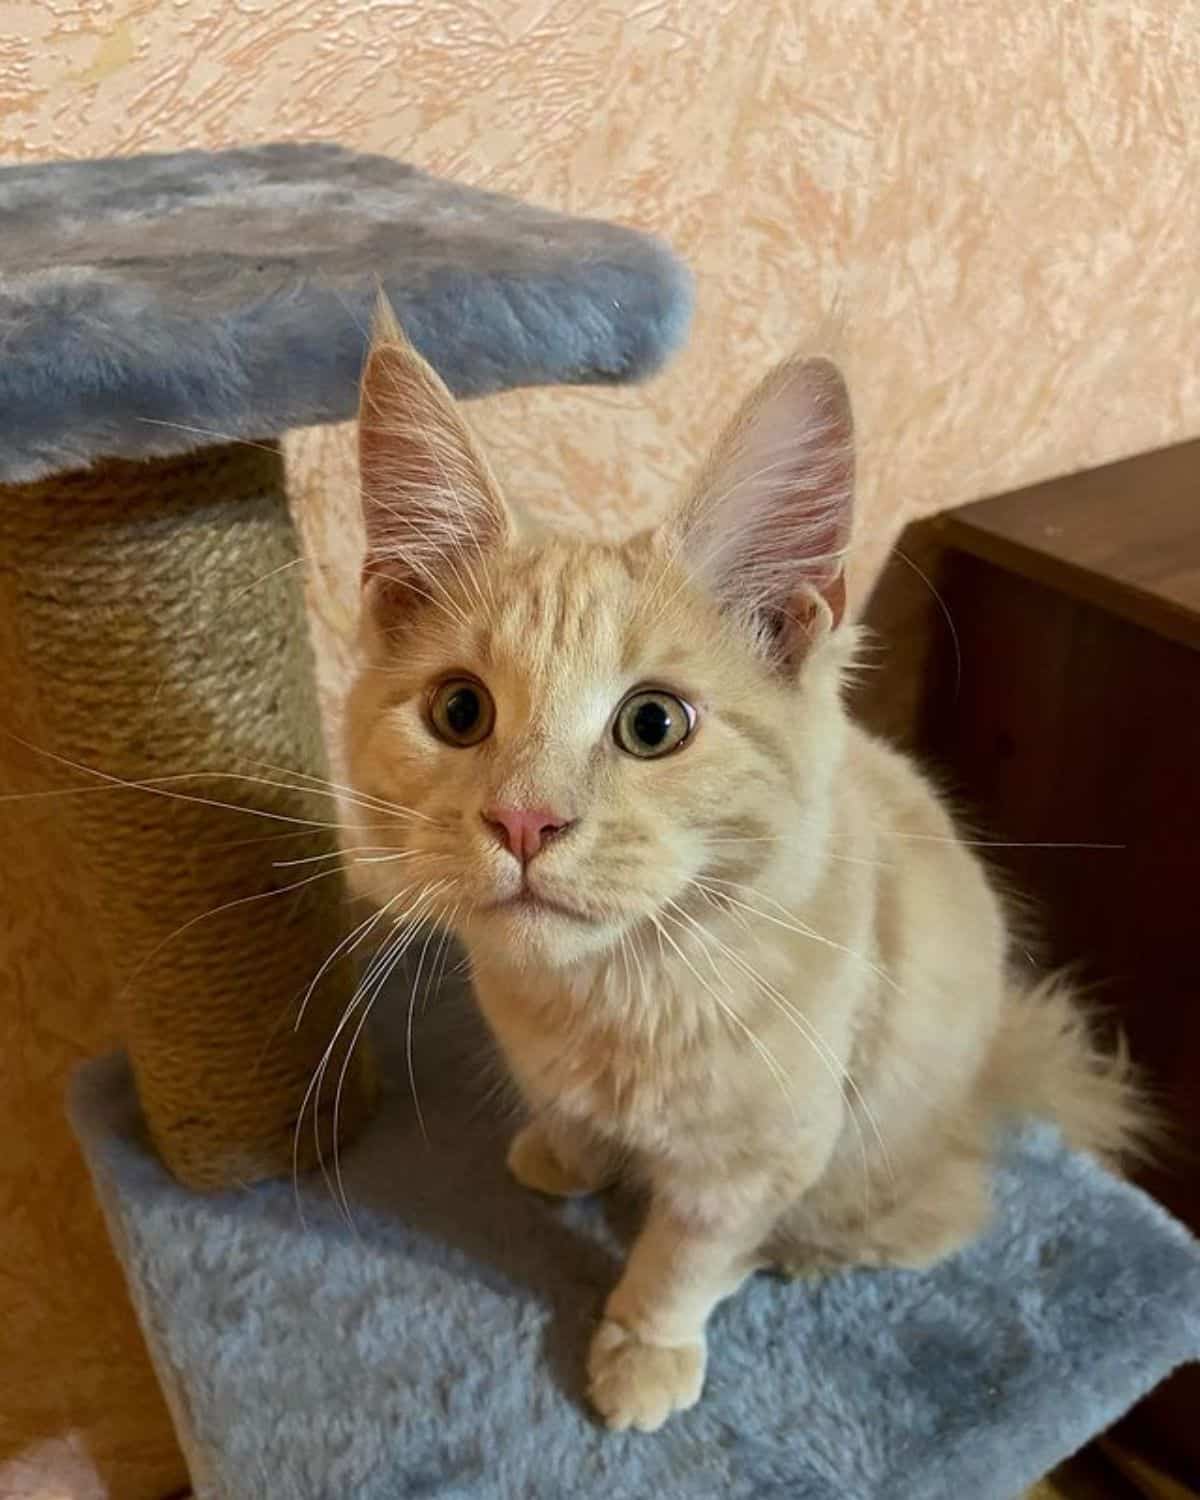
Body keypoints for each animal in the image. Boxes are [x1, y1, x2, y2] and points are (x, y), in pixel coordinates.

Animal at [340, 301, 1146, 1428]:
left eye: (653, 724)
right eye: (459, 711)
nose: (525, 819)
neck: (610, 995)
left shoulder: (760, 1158)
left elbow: (681, 1261)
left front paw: (643, 1350)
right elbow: (567, 1114)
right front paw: (568, 1153)